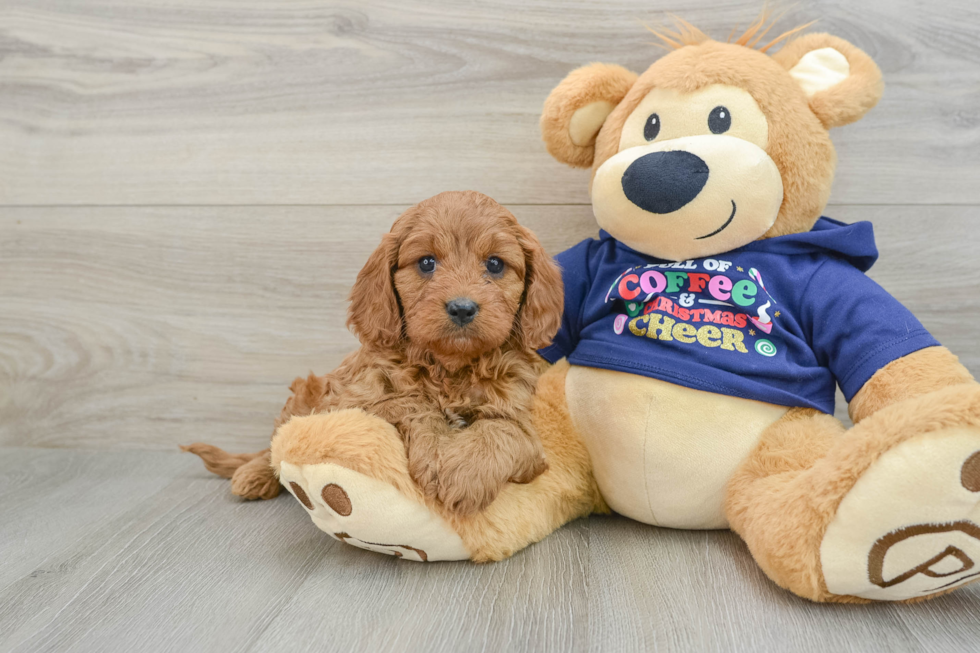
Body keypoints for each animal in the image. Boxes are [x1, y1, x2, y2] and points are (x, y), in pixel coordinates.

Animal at [187, 188, 564, 516]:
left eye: (495, 264)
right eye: (426, 263)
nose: (462, 308)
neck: (448, 368)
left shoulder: (523, 417)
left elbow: (505, 430)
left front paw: (464, 475)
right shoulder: (346, 401)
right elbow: (411, 402)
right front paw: (437, 453)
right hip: (305, 394)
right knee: (277, 442)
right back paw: (254, 474)